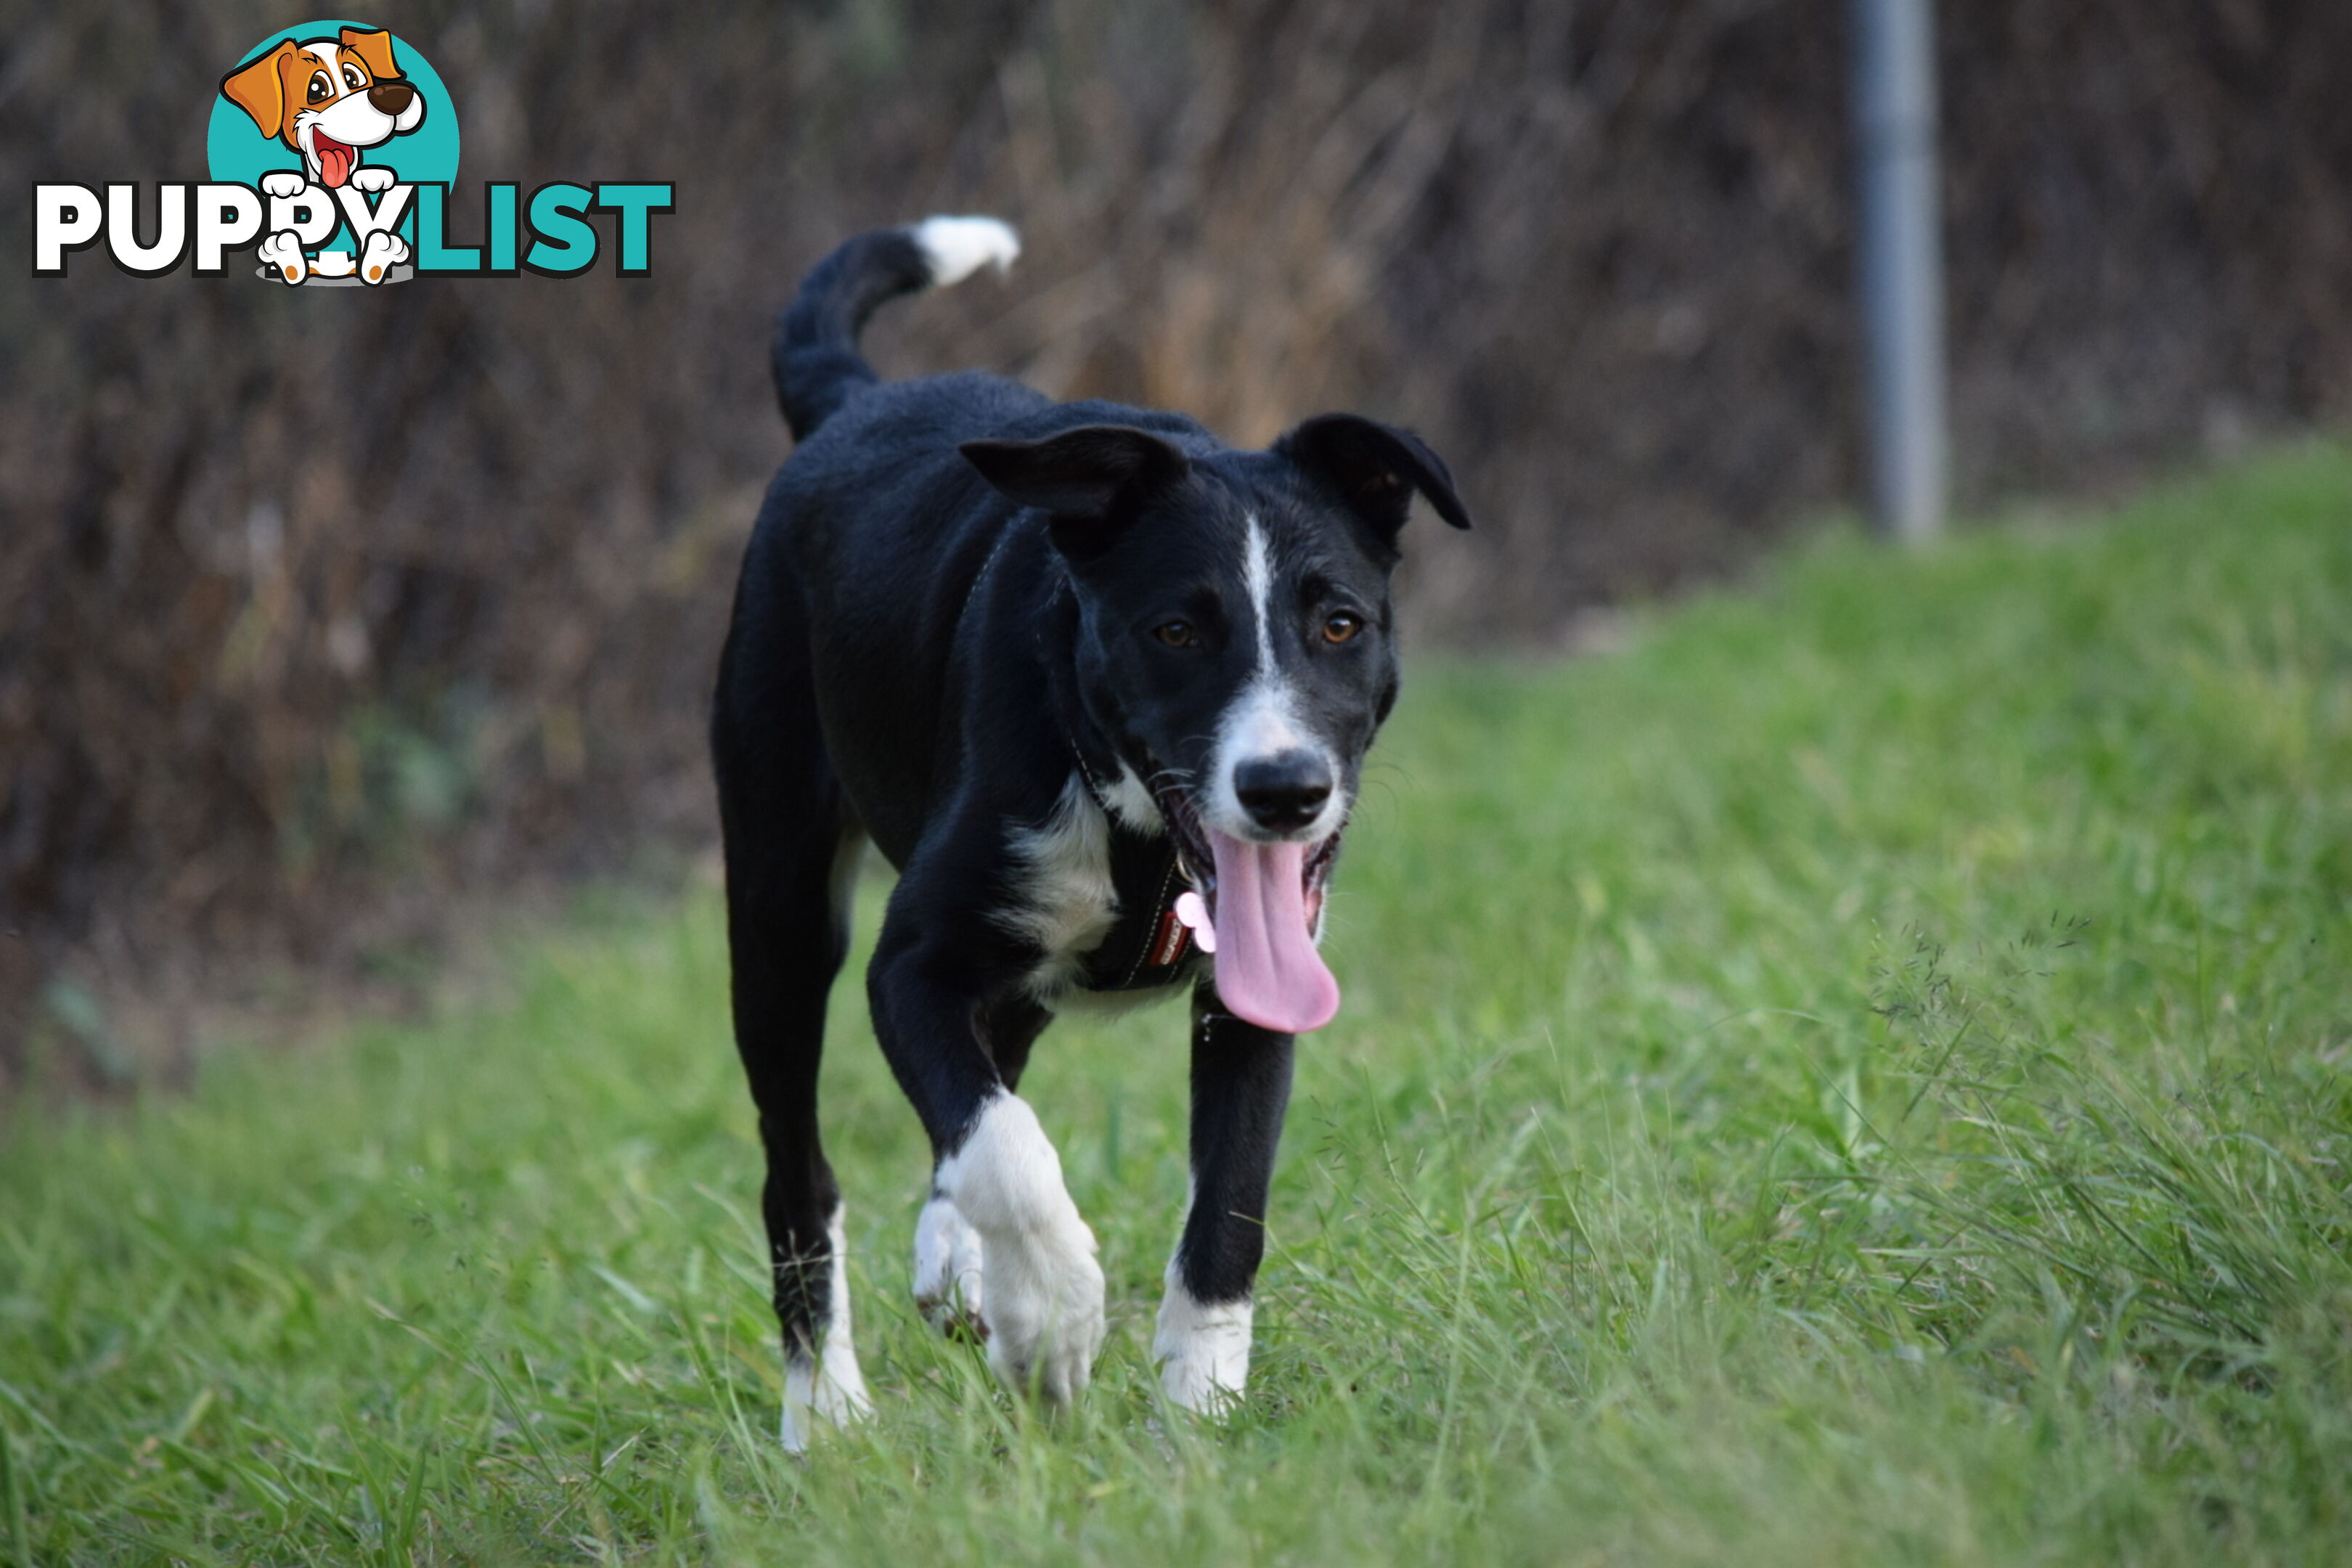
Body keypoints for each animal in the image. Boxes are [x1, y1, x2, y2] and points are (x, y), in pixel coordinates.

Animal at [706, 215, 1458, 1457]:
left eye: (1340, 623)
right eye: (1176, 631)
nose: (1285, 790)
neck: (1140, 836)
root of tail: (856, 400)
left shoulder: (1257, 998)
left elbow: (1228, 1204)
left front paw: (1198, 1409)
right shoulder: (909, 965)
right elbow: (1008, 1152)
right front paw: (1056, 1326)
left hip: (1005, 972)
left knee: (986, 1076)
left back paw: (954, 1269)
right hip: (778, 909)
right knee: (802, 1170)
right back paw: (827, 1410)